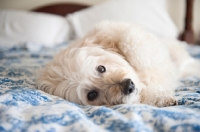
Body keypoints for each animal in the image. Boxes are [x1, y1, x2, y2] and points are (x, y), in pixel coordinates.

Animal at [36, 21, 200, 106]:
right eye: (92, 95)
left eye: (101, 68)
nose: (128, 86)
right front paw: (161, 98)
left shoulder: (122, 31)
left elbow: (130, 41)